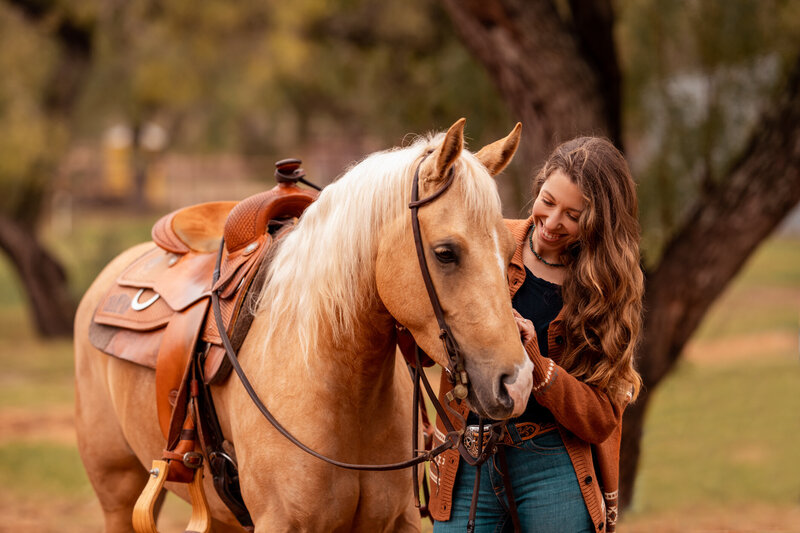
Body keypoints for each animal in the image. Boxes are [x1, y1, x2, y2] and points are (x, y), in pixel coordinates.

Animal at [75, 118, 536, 528]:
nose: (517, 383)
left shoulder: (396, 521)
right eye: (445, 252)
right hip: (117, 490)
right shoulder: (281, 523)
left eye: (509, 245)